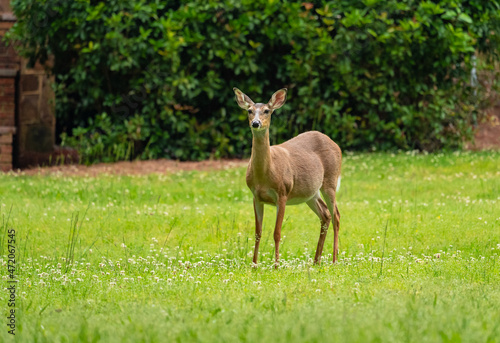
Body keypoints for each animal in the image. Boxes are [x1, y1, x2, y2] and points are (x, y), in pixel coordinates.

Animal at [232, 86, 342, 268]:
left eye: (267, 111)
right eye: (249, 111)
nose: (256, 123)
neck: (265, 174)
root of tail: (335, 144)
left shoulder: (282, 193)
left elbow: (277, 232)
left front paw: (276, 265)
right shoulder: (256, 196)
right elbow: (257, 232)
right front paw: (254, 265)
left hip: (330, 181)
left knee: (336, 216)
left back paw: (334, 260)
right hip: (311, 192)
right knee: (325, 214)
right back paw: (316, 261)